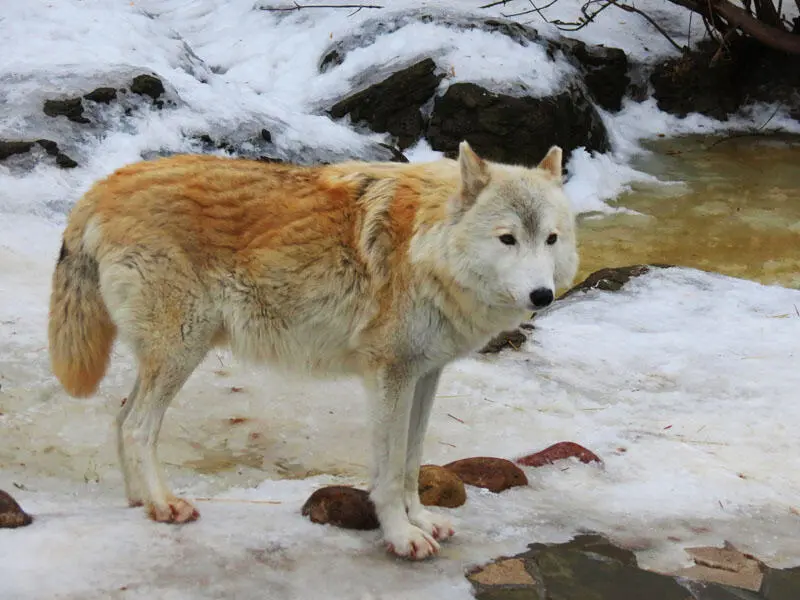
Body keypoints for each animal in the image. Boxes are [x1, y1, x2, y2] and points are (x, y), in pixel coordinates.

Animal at [48, 141, 576, 556]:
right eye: (507, 239)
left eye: (550, 238)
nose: (542, 297)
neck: (425, 246)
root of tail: (100, 187)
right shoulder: (390, 377)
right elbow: (388, 473)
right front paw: (401, 536)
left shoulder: (425, 375)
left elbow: (411, 464)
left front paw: (423, 521)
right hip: (181, 351)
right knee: (139, 427)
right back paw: (165, 504)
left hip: (165, 357)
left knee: (121, 417)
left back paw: (140, 502)